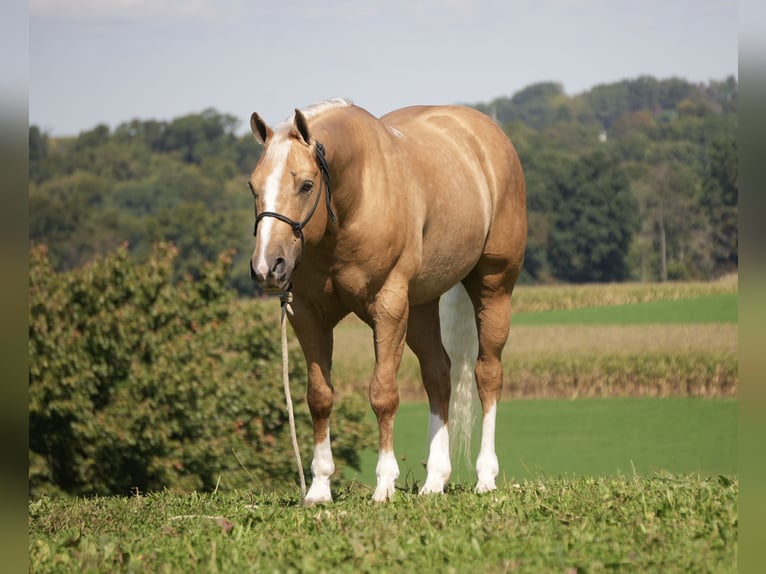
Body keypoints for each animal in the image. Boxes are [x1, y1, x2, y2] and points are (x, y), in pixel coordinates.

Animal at [247, 98, 527, 503]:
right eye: (253, 186)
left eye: (306, 185)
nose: (268, 267)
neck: (358, 197)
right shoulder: (307, 314)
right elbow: (319, 396)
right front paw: (319, 487)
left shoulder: (389, 308)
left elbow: (383, 394)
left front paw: (384, 484)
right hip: (421, 307)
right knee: (438, 375)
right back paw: (434, 480)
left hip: (494, 288)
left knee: (487, 374)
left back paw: (485, 477)